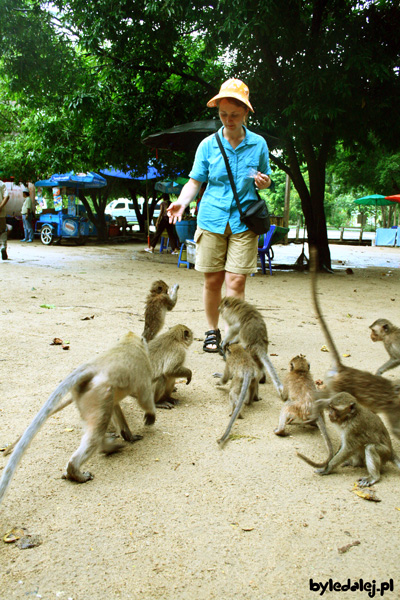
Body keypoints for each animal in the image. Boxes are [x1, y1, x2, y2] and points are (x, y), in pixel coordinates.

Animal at [0, 330, 156, 504]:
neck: (127, 342)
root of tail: (91, 367)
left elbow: (116, 406)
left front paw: (129, 436)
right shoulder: (144, 367)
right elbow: (144, 397)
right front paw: (151, 415)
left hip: (87, 396)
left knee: (98, 425)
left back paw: (105, 448)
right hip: (98, 393)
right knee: (95, 435)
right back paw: (75, 470)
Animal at [310, 246, 400, 438]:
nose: (372, 336)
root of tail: (343, 368)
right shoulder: (393, 407)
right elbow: (396, 430)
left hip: (332, 382)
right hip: (340, 388)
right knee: (330, 400)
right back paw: (317, 407)